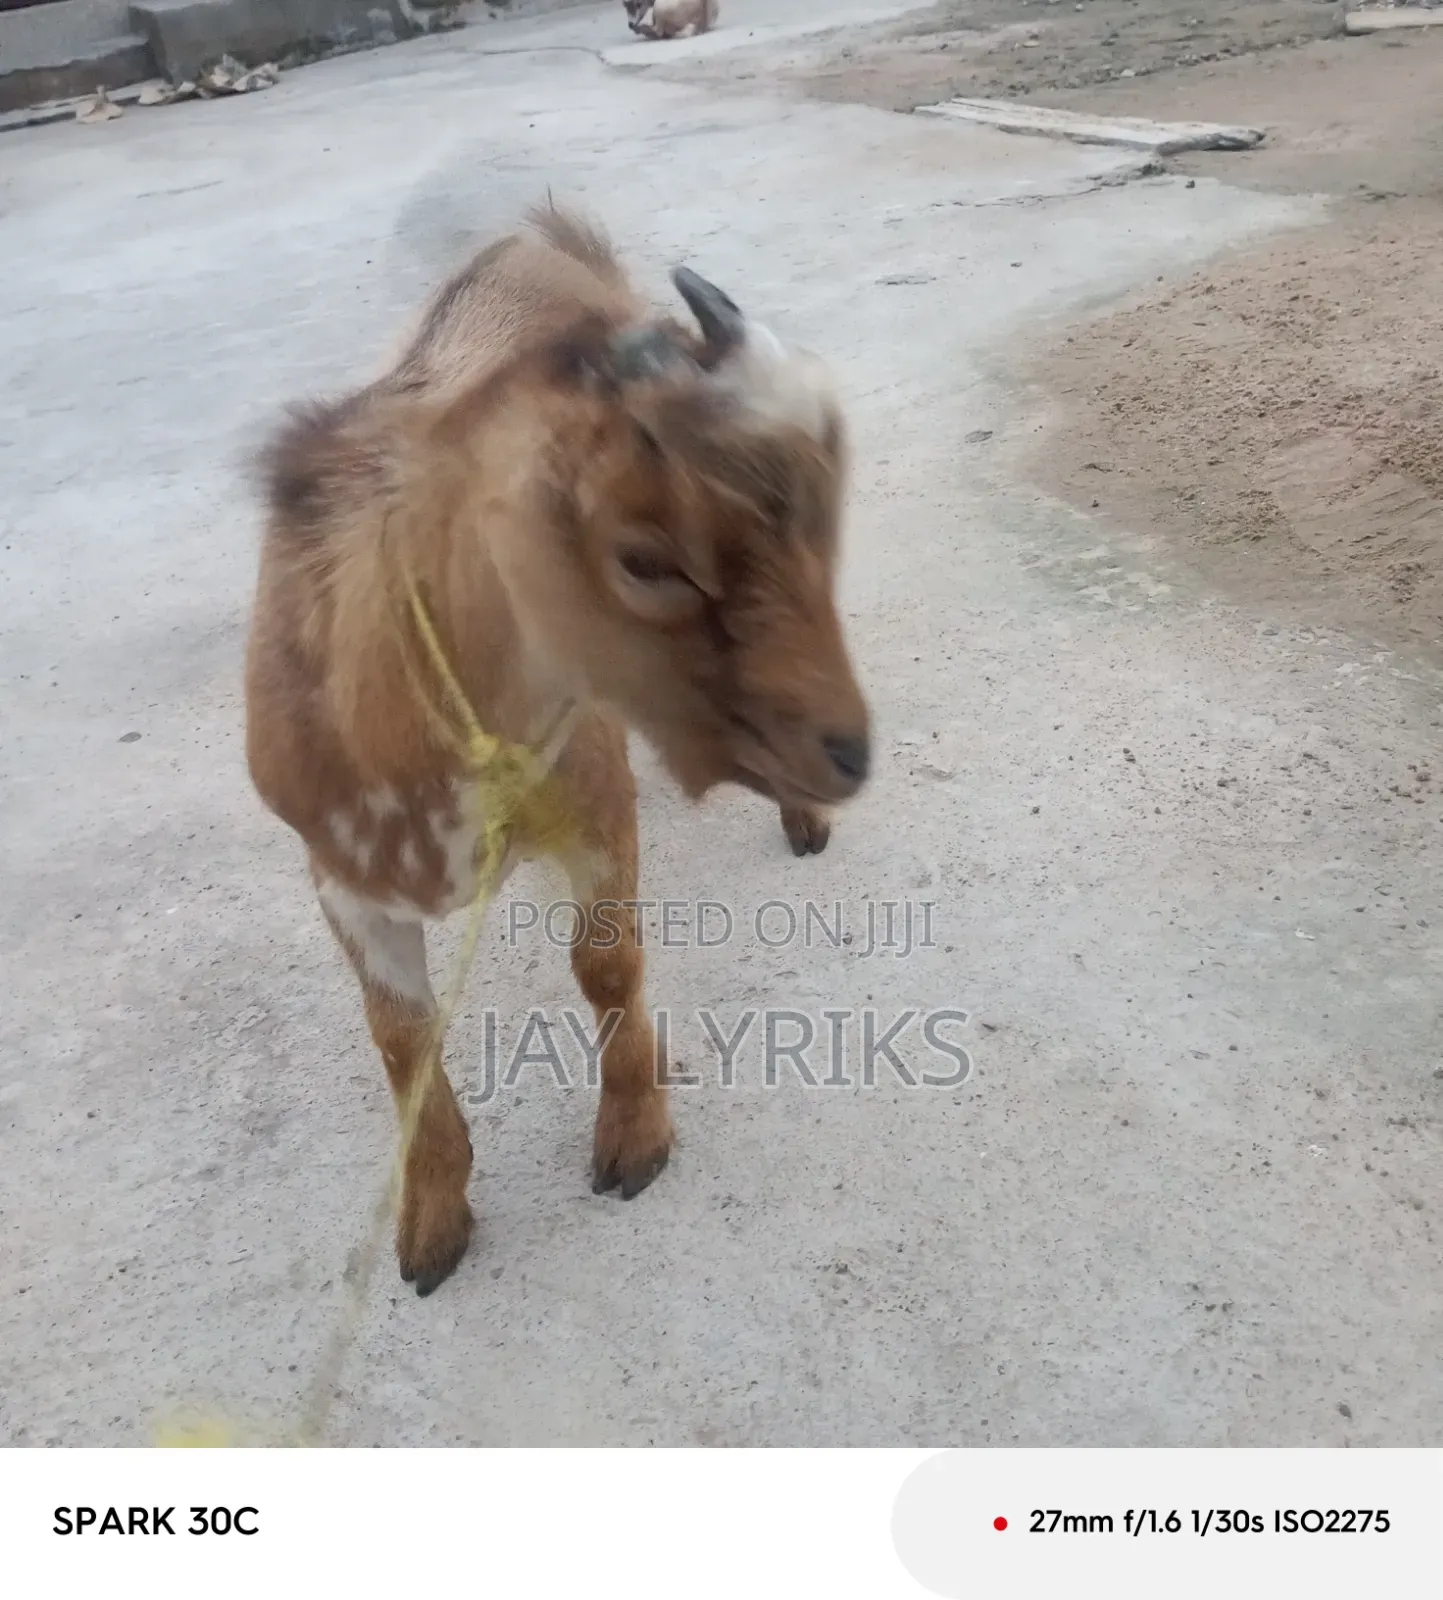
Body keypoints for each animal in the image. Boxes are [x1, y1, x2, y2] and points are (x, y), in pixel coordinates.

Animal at [244, 204, 869, 1295]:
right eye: (647, 559)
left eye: (815, 528)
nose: (851, 752)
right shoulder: (338, 875)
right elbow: (400, 1035)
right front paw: (431, 1223)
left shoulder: (594, 798)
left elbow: (606, 963)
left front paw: (634, 1139)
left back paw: (804, 820)